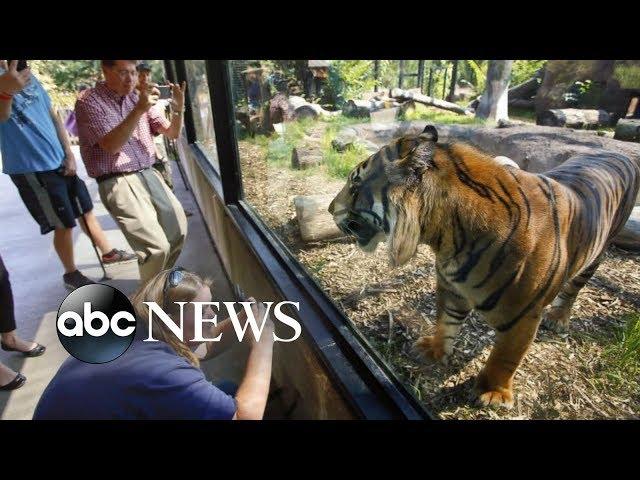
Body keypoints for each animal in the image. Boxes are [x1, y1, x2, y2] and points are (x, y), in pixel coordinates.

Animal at [330, 124, 640, 408]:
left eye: (355, 186)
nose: (331, 209)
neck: (446, 237)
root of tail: (617, 152)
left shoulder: (523, 316)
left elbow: (505, 356)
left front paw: (492, 393)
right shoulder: (451, 288)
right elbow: (446, 322)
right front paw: (434, 350)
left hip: (596, 254)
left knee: (574, 288)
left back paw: (558, 317)